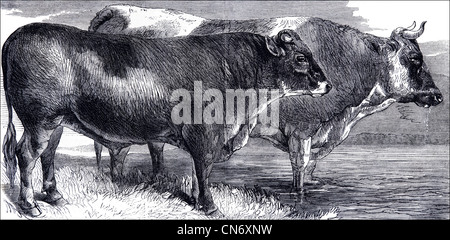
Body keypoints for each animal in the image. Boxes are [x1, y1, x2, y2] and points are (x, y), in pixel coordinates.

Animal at [1, 23, 328, 218]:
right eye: (300, 58)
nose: (328, 84)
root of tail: (18, 34)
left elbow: (196, 172)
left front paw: (196, 201)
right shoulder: (205, 135)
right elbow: (203, 170)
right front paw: (211, 208)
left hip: (55, 123)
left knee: (47, 155)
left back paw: (55, 196)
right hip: (40, 120)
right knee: (26, 155)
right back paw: (30, 206)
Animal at [87, 4, 442, 192]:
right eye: (415, 59)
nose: (437, 95)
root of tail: (123, 10)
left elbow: (311, 169)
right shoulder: (301, 130)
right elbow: (299, 171)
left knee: (150, 149)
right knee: (118, 149)